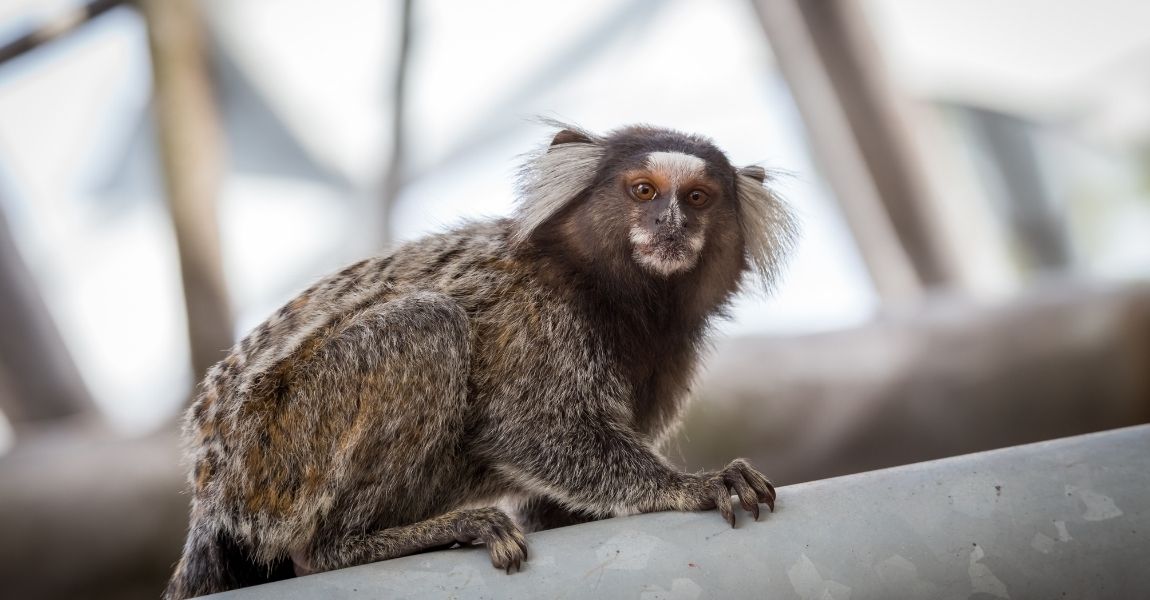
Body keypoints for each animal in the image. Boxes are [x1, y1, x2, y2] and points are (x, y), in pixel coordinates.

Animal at [164, 122, 791, 597]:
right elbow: (529, 429)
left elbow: (550, 504)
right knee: (427, 327)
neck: (617, 298)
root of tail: (210, 488)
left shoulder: (671, 358)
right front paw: (693, 484)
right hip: (278, 447)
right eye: (644, 191)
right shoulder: (535, 316)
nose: (671, 223)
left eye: (697, 198)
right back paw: (361, 544)